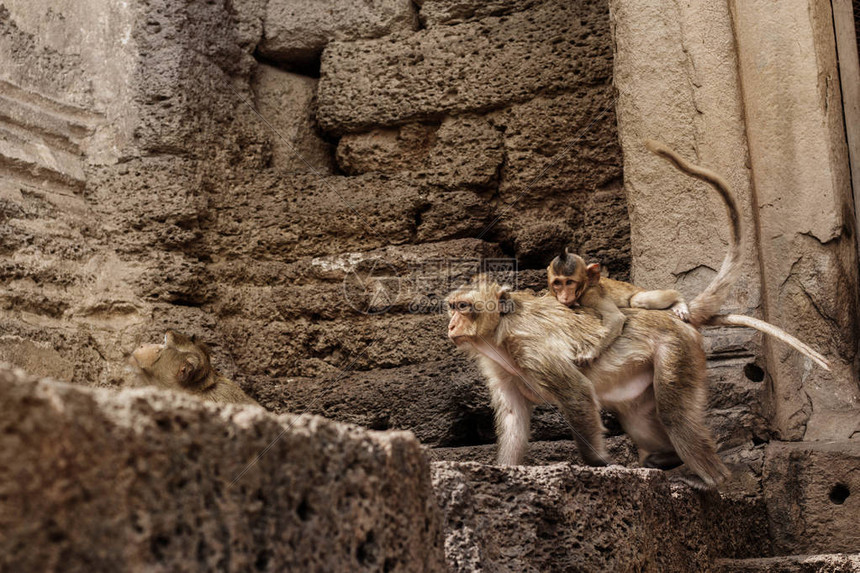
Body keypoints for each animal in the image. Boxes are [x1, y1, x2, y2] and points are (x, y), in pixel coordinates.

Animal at [552, 246, 692, 362]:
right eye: (557, 283)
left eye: (569, 282)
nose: (564, 296)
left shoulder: (592, 295)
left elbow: (616, 317)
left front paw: (589, 352)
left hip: (639, 292)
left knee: (636, 301)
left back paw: (678, 300)